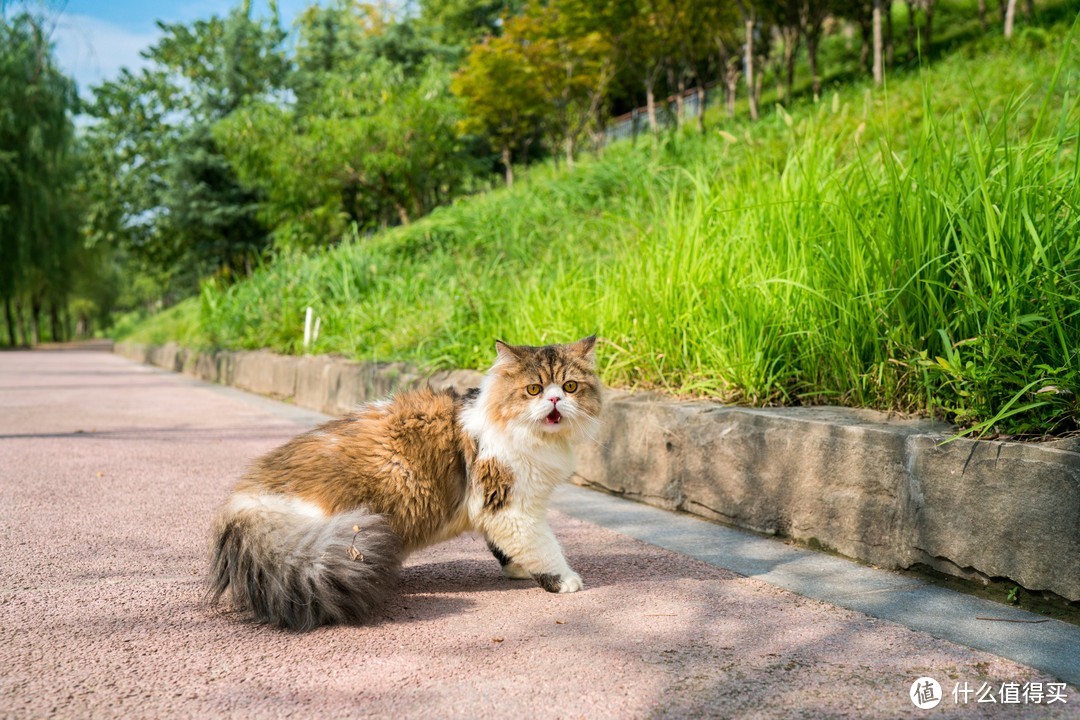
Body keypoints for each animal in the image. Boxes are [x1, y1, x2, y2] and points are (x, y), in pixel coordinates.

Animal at [206, 336, 604, 630]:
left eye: (570, 386)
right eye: (534, 389)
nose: (555, 399)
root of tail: (245, 499)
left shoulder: (498, 507)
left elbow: (507, 547)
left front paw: (519, 570)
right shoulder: (512, 505)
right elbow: (544, 547)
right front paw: (564, 580)